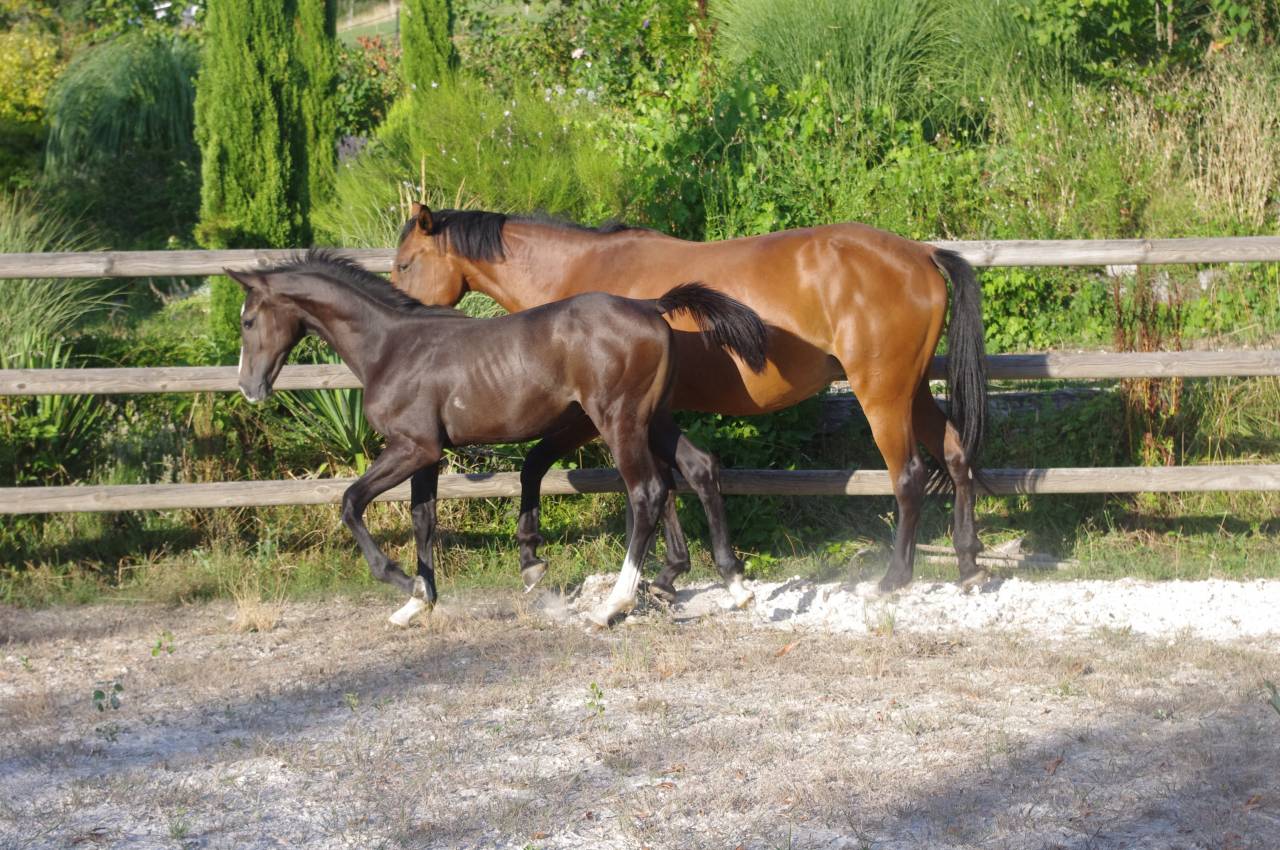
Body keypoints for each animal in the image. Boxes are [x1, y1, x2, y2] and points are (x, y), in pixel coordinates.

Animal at [228, 250, 767, 627]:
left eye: (248, 320)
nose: (249, 388)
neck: (391, 347)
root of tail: (649, 305)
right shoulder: (428, 455)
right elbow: (423, 520)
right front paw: (419, 602)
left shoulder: (411, 447)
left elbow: (350, 502)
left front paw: (404, 584)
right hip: (652, 419)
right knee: (698, 467)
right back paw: (734, 584)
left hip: (619, 420)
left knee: (648, 492)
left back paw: (613, 606)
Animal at [392, 205, 989, 597]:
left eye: (403, 263)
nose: (403, 320)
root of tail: (922, 254)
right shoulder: (652, 413)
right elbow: (678, 480)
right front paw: (672, 573)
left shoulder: (600, 416)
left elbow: (545, 466)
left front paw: (534, 557)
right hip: (913, 390)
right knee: (956, 455)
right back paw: (968, 563)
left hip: (881, 394)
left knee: (909, 475)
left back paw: (894, 578)